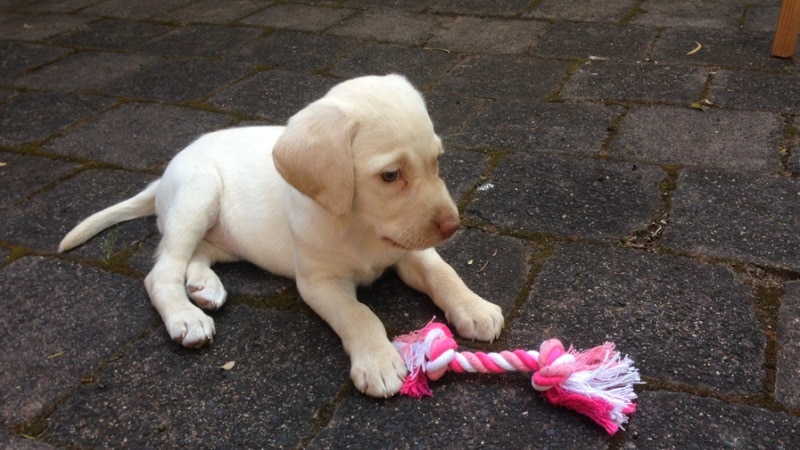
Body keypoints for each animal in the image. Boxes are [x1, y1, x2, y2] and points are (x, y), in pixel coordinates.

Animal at [59, 74, 504, 398]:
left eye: (437, 161)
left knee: (196, 254)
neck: (358, 227)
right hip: (198, 194)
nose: (452, 226)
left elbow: (442, 273)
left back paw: (204, 285)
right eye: (390, 175)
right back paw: (186, 316)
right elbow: (358, 313)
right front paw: (378, 360)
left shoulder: (410, 251)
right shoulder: (320, 282)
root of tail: (166, 174)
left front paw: (474, 307)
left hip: (229, 236)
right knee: (163, 270)